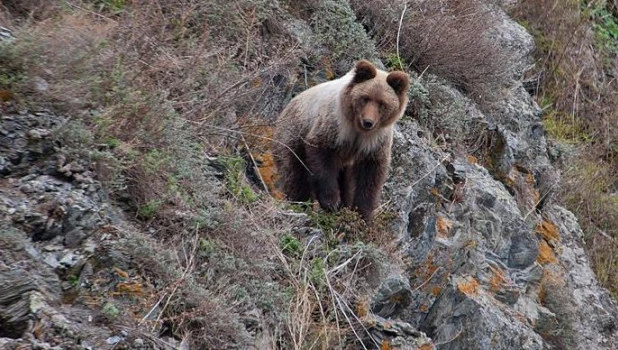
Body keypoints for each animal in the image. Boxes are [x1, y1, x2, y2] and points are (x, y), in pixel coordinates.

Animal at [270, 58, 406, 220]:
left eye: (382, 103)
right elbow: (322, 156)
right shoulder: (335, 125)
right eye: (365, 98)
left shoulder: (376, 140)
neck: (357, 128)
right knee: (295, 175)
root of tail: (285, 109)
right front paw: (331, 202)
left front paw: (362, 214)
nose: (368, 122)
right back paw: (301, 204)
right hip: (292, 138)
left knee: (345, 183)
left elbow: (370, 175)